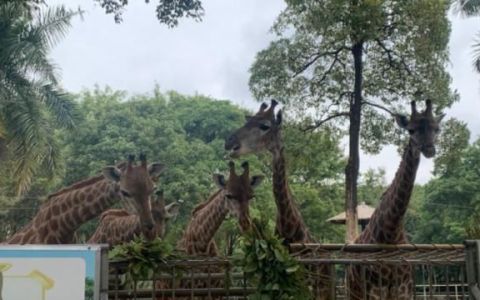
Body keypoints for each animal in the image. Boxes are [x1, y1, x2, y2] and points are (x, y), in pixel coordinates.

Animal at [346, 99, 444, 298]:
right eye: (411, 130)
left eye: (436, 129)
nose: (429, 149)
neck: (392, 232)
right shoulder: (376, 292)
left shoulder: (404, 290)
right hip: (354, 292)